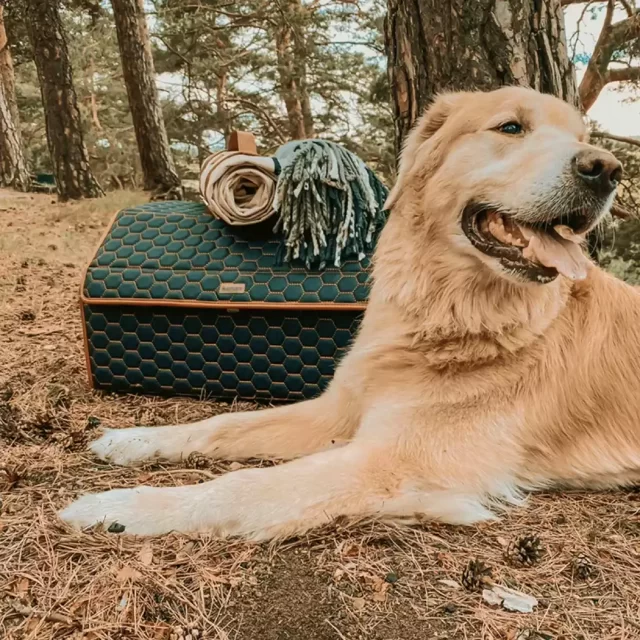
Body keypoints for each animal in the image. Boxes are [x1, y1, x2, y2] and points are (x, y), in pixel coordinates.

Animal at [60, 87, 640, 540]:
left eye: (581, 135)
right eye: (511, 127)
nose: (606, 169)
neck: (448, 313)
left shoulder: (395, 461)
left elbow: (241, 486)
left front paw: (121, 507)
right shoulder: (336, 412)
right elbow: (222, 422)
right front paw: (132, 441)